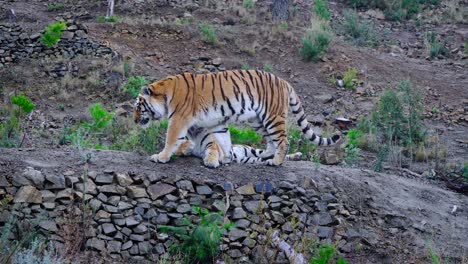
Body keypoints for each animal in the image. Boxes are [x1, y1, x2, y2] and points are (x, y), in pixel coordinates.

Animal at [134, 69, 340, 166]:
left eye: (138, 107)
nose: (135, 121)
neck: (165, 94)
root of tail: (284, 81)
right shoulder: (211, 124)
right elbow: (222, 141)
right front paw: (225, 157)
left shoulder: (178, 120)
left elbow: (171, 139)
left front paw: (160, 157)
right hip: (257, 120)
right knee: (270, 142)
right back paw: (266, 155)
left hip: (272, 116)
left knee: (282, 140)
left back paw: (276, 161)